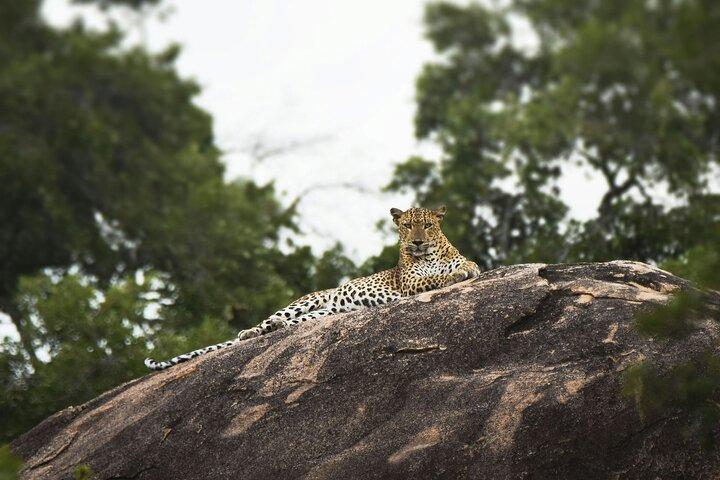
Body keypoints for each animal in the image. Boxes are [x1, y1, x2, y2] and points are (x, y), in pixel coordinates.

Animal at [145, 206, 481, 371]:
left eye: (428, 225)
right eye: (407, 225)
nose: (417, 242)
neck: (430, 254)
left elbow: (467, 265)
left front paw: (464, 270)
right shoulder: (410, 283)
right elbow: (432, 279)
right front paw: (452, 277)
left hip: (323, 313)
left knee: (290, 323)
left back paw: (276, 329)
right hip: (305, 302)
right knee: (268, 320)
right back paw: (251, 332)